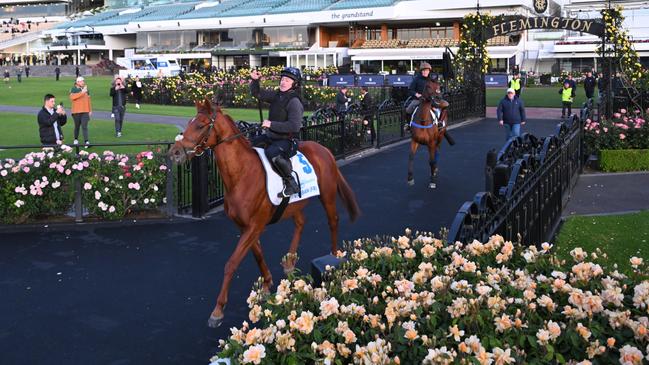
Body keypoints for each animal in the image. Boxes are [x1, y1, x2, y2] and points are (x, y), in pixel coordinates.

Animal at [167, 97, 360, 328]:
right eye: (189, 122)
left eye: (200, 125)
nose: (175, 152)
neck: (241, 174)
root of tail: (325, 150)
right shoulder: (247, 227)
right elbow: (258, 254)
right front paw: (267, 284)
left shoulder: (254, 225)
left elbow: (231, 263)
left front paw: (218, 310)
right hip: (294, 205)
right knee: (301, 222)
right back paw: (290, 261)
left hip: (328, 195)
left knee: (333, 221)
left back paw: (332, 259)